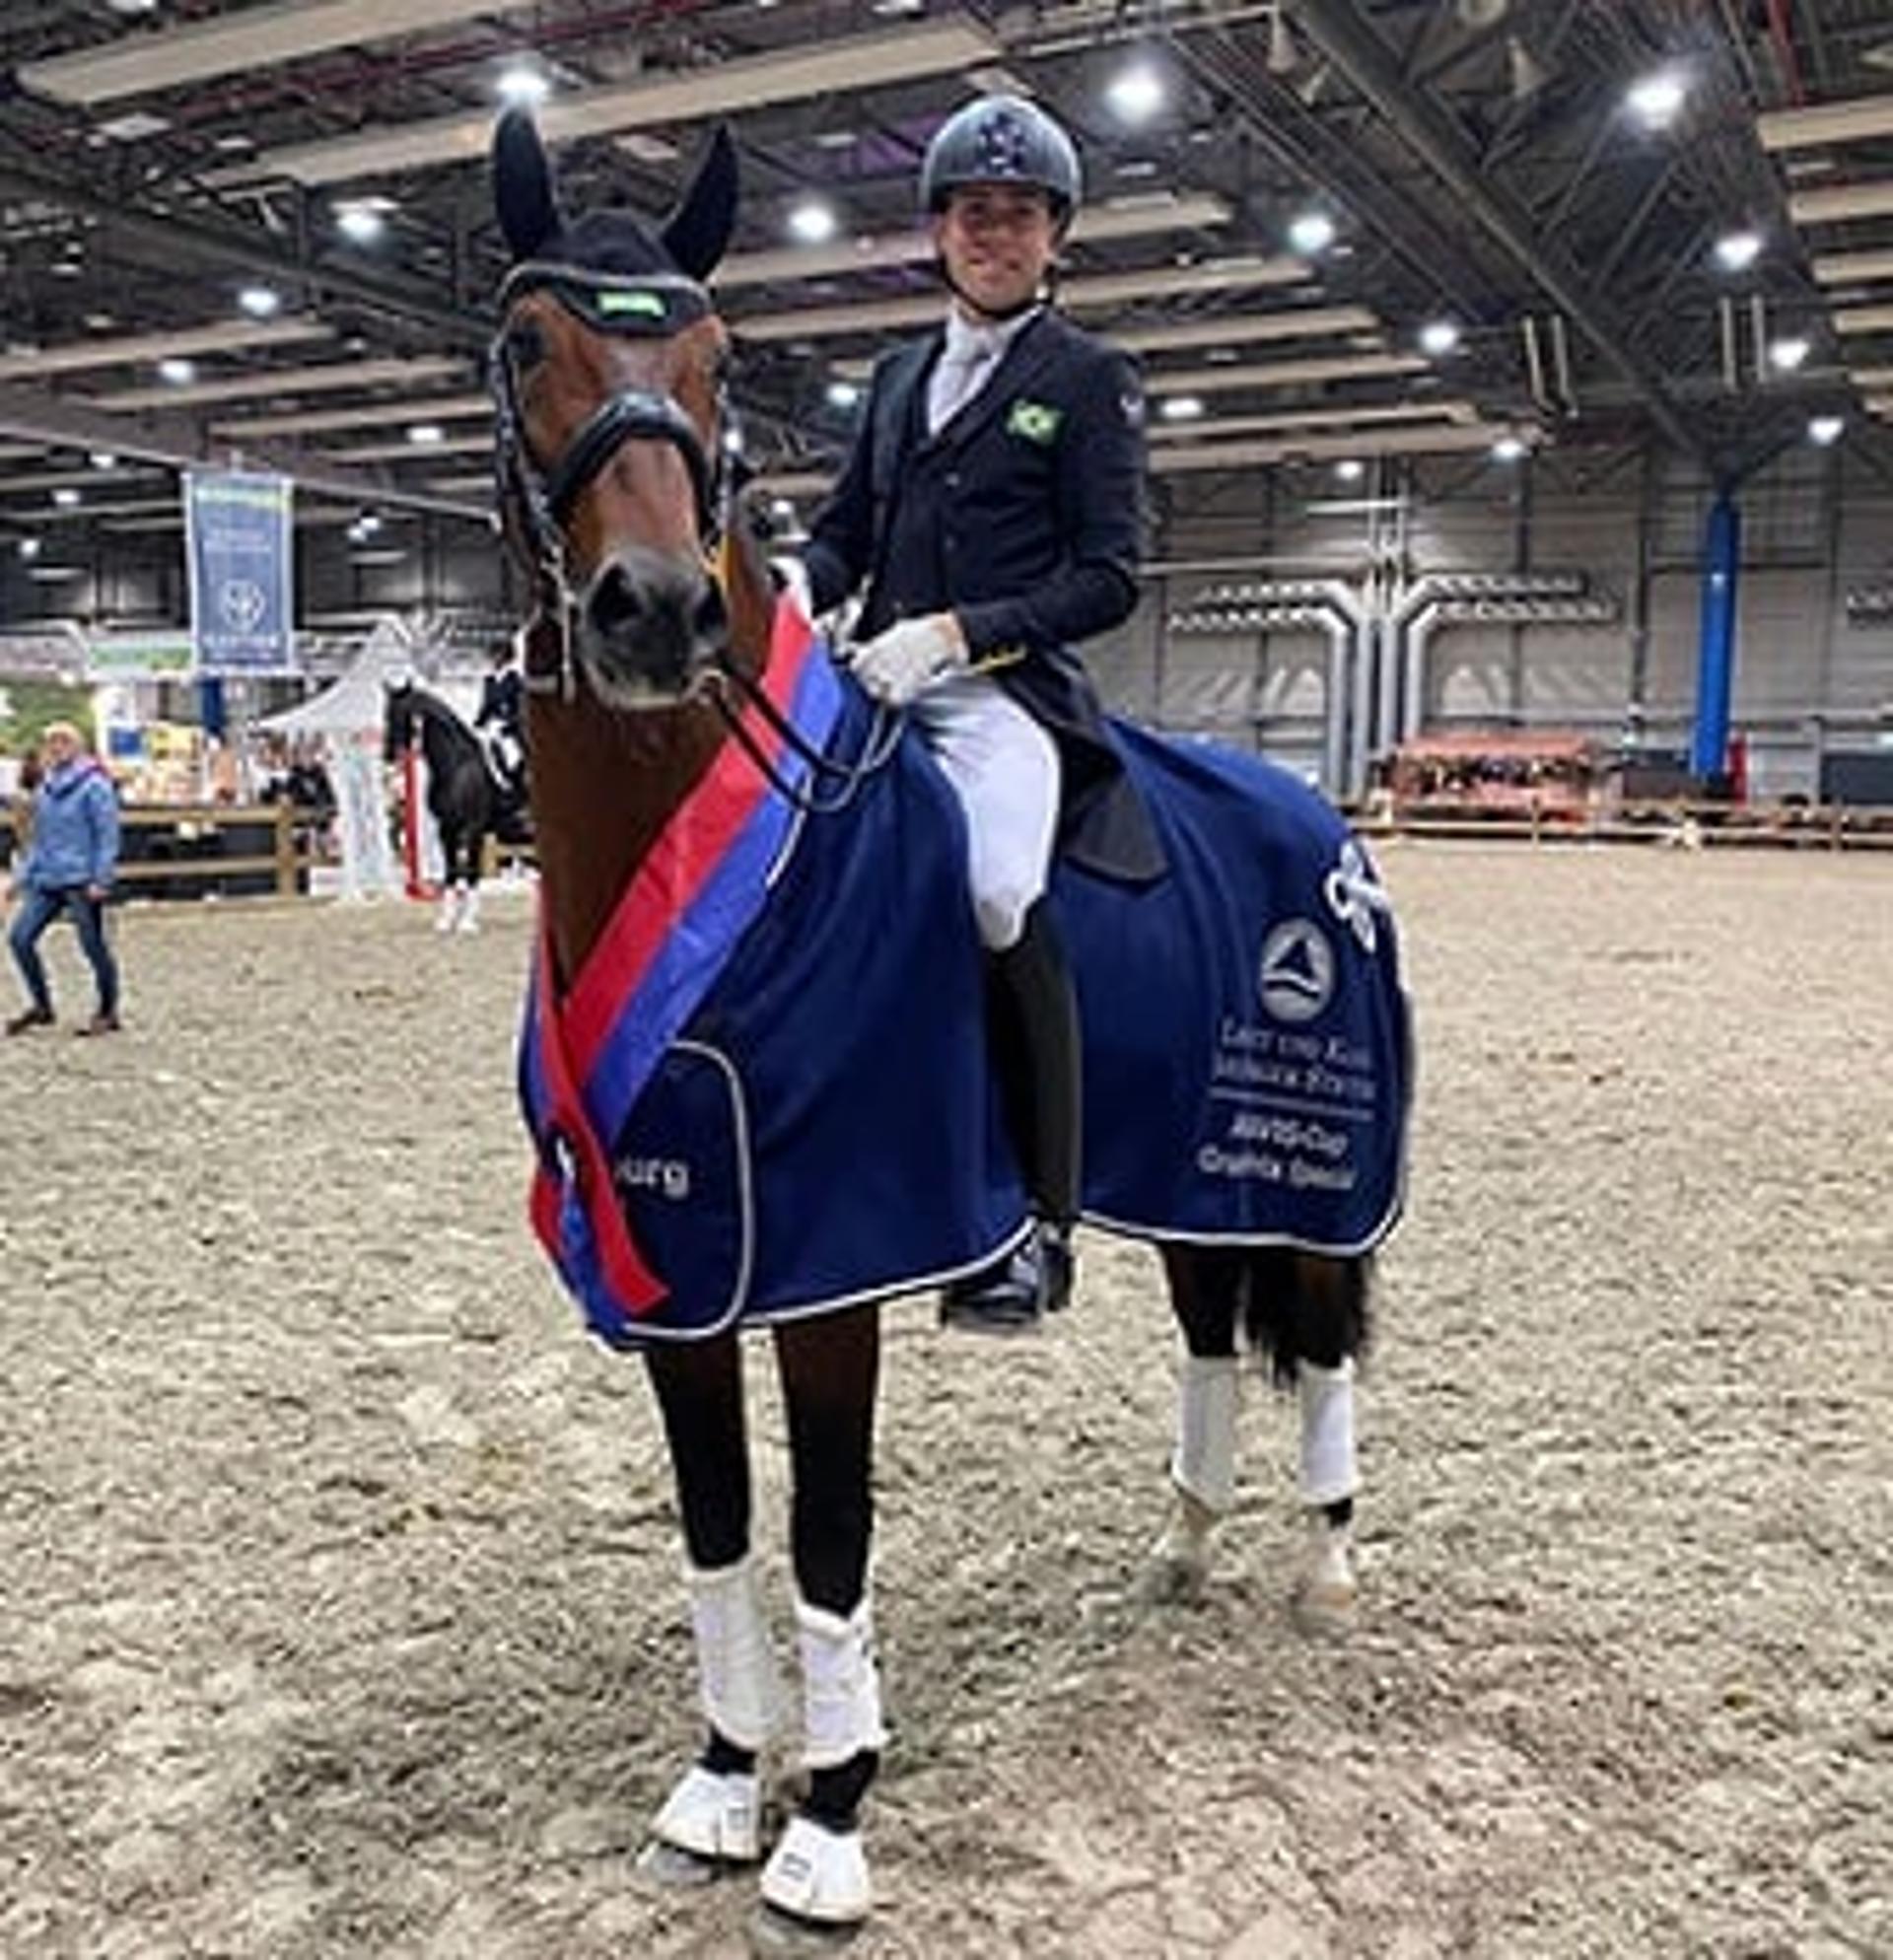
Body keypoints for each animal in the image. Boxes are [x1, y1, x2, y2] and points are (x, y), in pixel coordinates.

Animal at [384, 677, 532, 929]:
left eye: (398, 715)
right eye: (385, 715)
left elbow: (471, 871)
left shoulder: (473, 829)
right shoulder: (447, 828)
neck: (457, 766)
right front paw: (446, 921)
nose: (386, 757)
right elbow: (450, 873)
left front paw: (467, 923)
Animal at [481, 110, 1419, 1944]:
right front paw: (722, 1781)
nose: (653, 614)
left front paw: (832, 1820)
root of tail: (1315, 814)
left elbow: (829, 1534)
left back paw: (1327, 1566)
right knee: (1211, 1328)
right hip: (1188, 1171)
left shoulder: (837, 1259)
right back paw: (1183, 1547)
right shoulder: (686, 1258)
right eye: (528, 341)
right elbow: (717, 1529)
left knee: (1324, 1336)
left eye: (718, 359)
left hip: (1314, 1167)